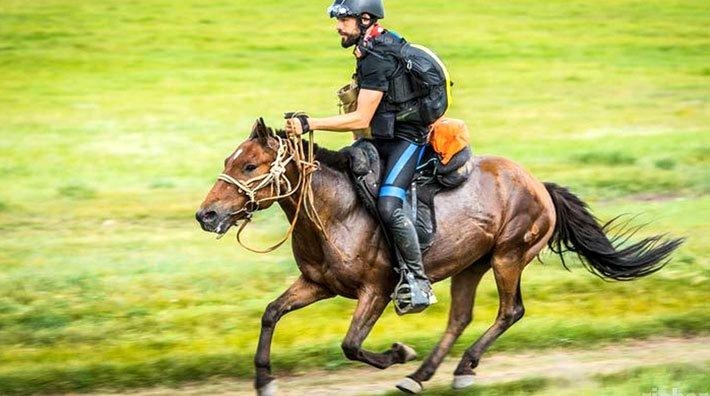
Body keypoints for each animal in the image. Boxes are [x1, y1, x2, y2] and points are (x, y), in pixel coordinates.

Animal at [196, 119, 684, 394]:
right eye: (229, 161)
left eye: (250, 166)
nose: (207, 214)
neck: (336, 210)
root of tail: (539, 185)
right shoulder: (318, 284)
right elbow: (271, 312)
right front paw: (264, 379)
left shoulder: (376, 290)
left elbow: (351, 344)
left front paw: (398, 352)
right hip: (471, 265)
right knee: (460, 318)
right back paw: (422, 375)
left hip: (509, 256)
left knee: (510, 311)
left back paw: (460, 368)